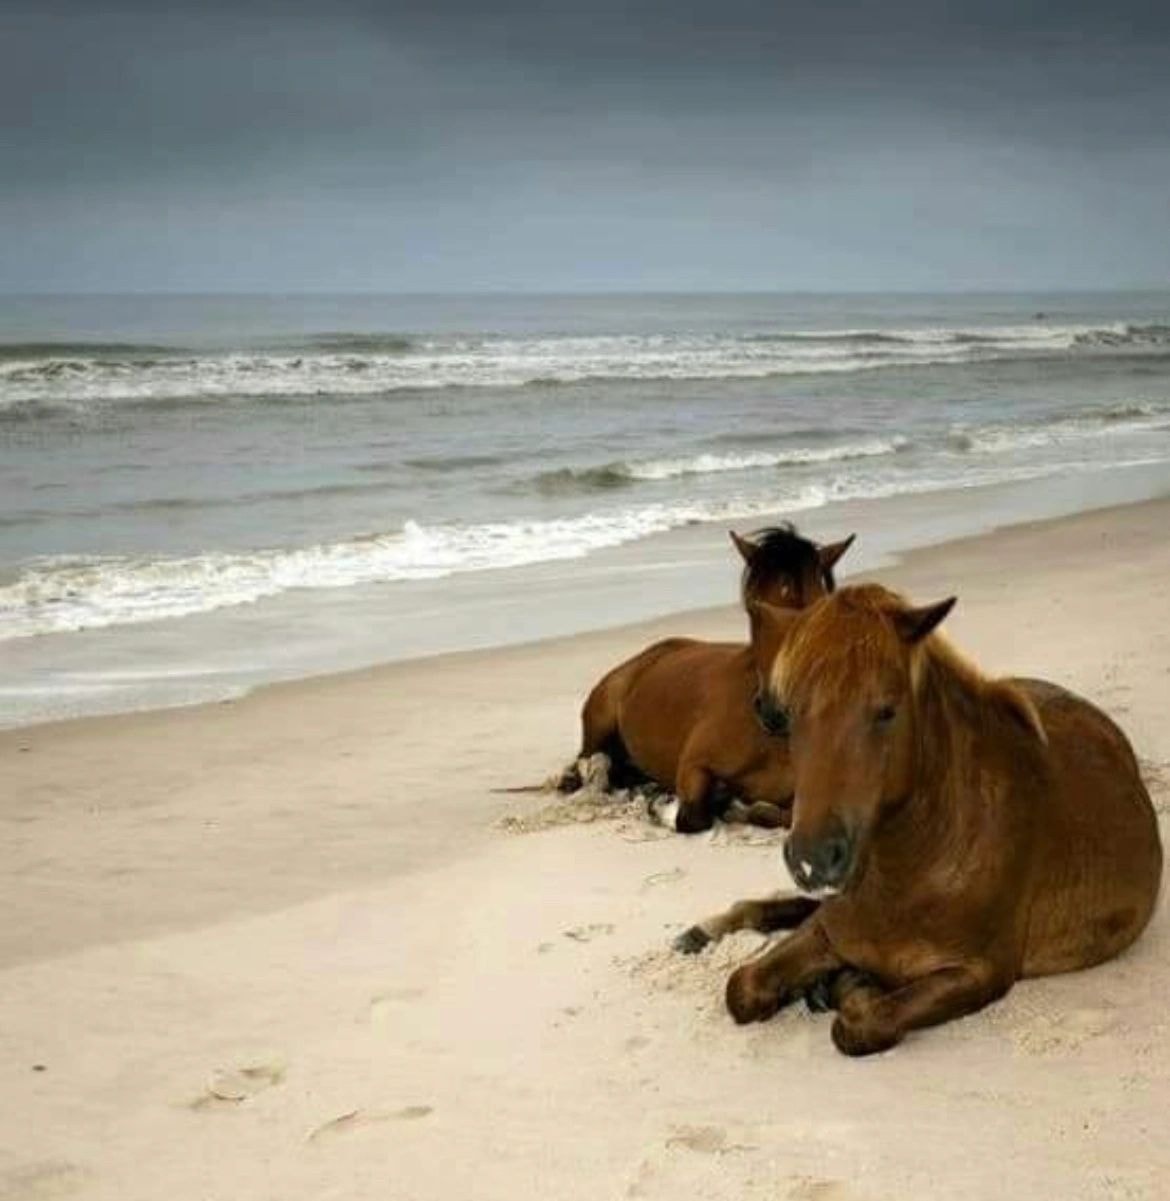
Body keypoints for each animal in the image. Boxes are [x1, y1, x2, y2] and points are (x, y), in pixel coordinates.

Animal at [558, 525, 855, 834]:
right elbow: (692, 816)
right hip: (600, 723)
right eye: (752, 610)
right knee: (587, 759)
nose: (772, 712)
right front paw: (670, 806)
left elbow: (769, 813)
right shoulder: (694, 765)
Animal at [681, 583, 1162, 1054]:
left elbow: (861, 1025)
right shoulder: (826, 930)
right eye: (786, 717)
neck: (912, 870)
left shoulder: (980, 974)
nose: (812, 860)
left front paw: (848, 985)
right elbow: (743, 988)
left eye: (886, 710)